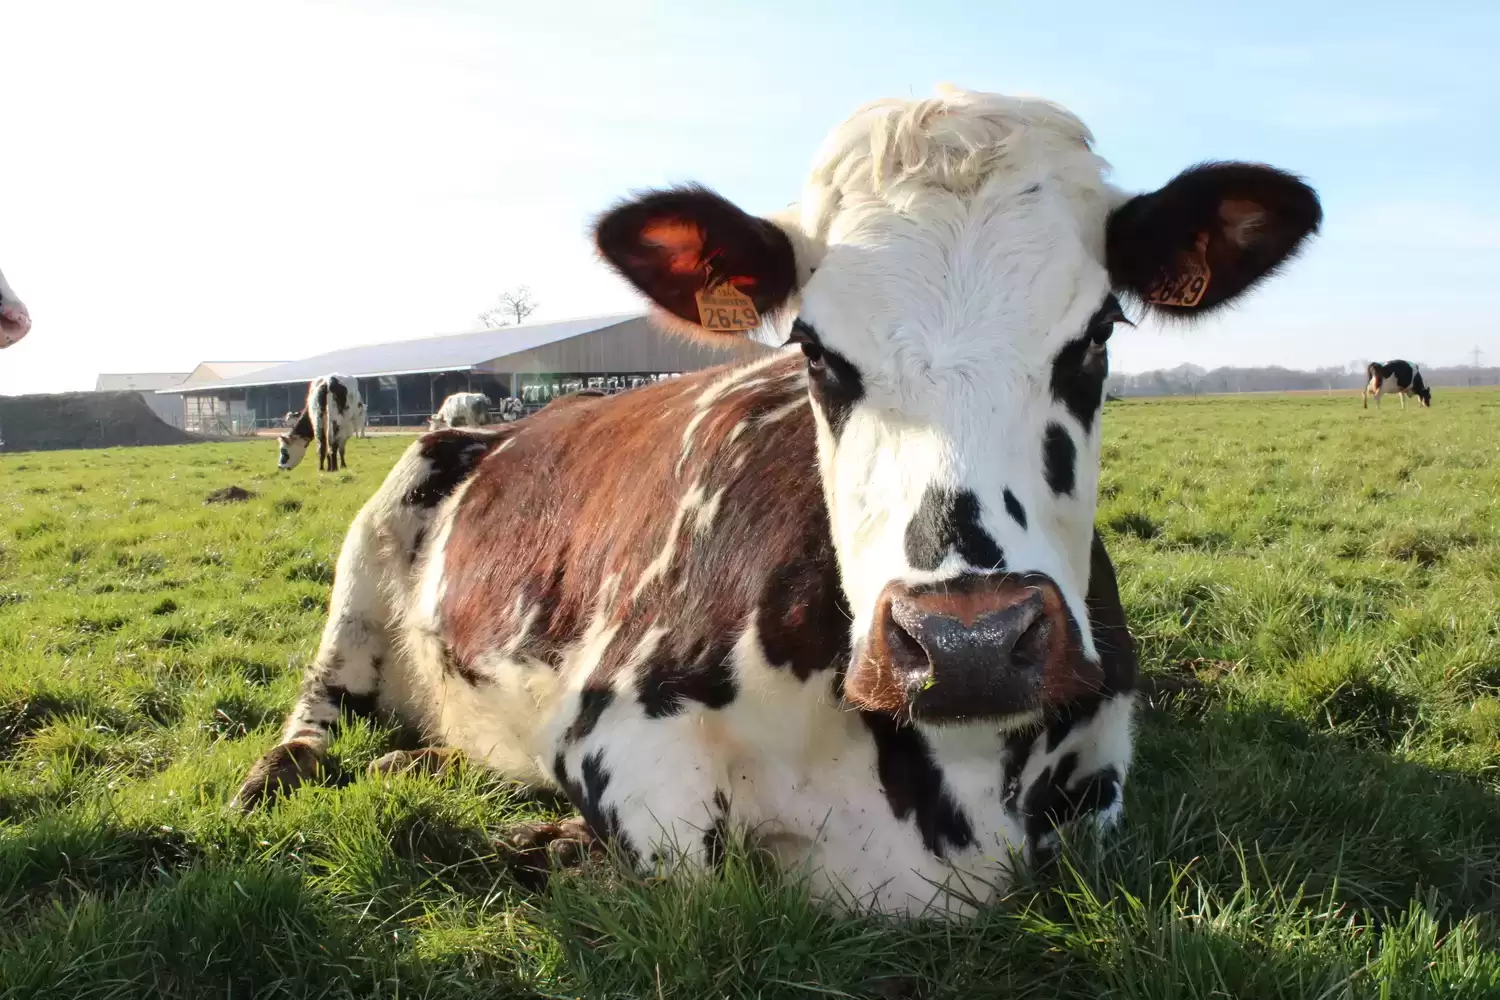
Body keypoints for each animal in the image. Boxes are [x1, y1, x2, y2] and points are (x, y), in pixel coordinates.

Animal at [228, 88, 1320, 923]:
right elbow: (694, 874)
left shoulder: (1101, 778)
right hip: (368, 556)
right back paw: (278, 777)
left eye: (1096, 335)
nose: (966, 641)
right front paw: (546, 842)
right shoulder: (613, 730)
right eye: (813, 348)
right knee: (317, 710)